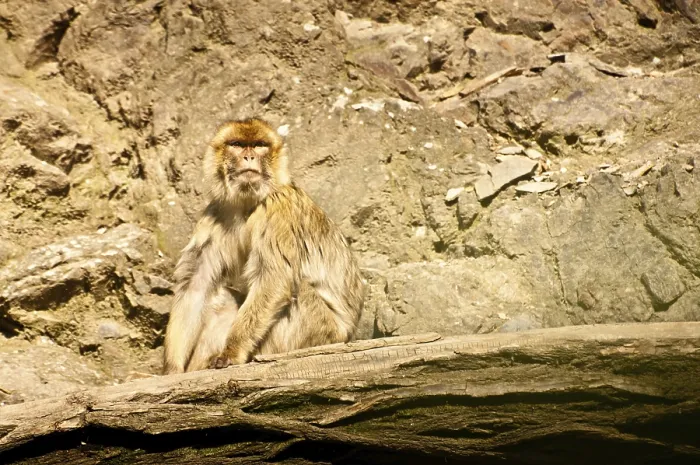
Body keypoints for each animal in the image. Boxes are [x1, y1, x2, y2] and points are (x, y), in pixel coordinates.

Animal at [162, 118, 365, 374]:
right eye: (237, 144)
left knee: (298, 290)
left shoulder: (278, 209)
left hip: (321, 333)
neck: (249, 203)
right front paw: (172, 370)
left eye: (259, 145)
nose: (249, 156)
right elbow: (196, 284)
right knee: (221, 297)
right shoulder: (216, 212)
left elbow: (273, 279)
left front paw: (232, 352)